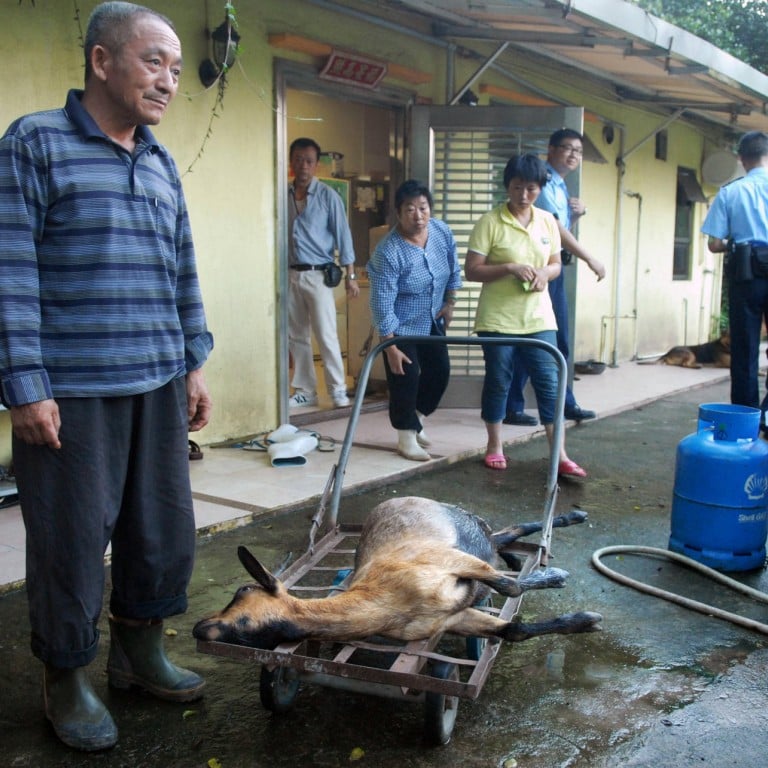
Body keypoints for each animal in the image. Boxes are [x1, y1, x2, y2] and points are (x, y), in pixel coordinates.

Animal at [192, 498, 600, 648]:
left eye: (243, 592)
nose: (198, 627)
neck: (388, 603)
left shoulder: (448, 559)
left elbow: (509, 589)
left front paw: (556, 577)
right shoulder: (453, 618)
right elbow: (513, 629)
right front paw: (583, 621)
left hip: (467, 530)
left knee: (510, 533)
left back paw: (573, 518)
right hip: (479, 536)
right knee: (506, 535)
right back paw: (523, 552)